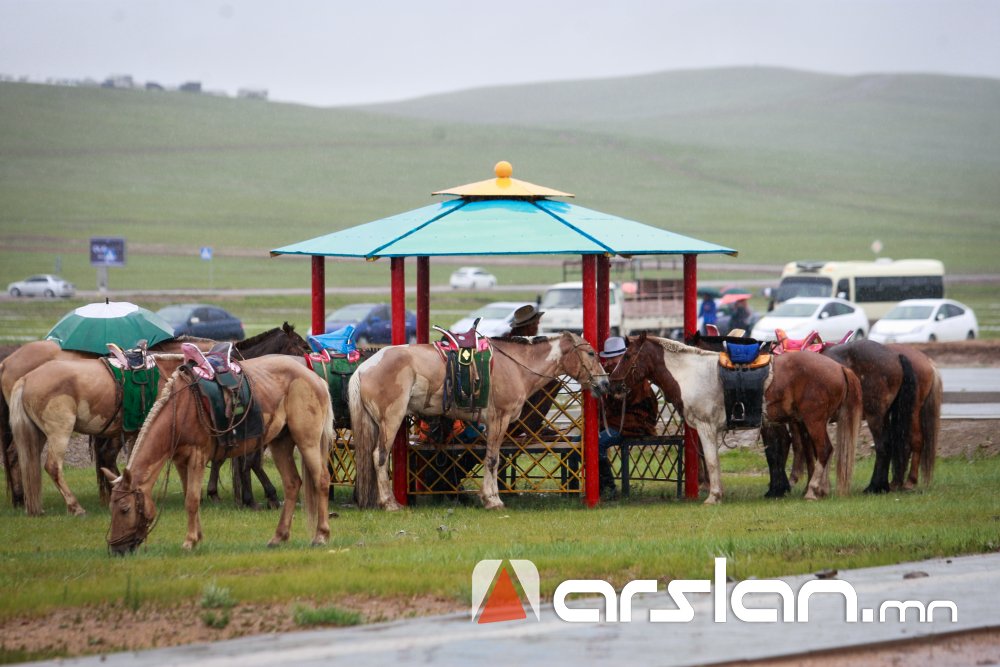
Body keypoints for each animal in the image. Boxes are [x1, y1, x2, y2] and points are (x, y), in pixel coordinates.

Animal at [104, 354, 332, 552]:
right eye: (111, 508)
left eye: (125, 508)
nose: (117, 549)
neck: (181, 409)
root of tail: (315, 378)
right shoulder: (180, 461)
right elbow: (190, 497)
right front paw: (197, 537)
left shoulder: (197, 457)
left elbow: (192, 499)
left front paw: (189, 541)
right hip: (280, 443)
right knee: (292, 483)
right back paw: (278, 536)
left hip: (307, 441)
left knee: (321, 480)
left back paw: (321, 535)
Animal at [348, 332, 612, 508]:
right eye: (591, 353)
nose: (605, 383)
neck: (515, 366)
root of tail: (364, 367)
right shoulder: (499, 419)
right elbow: (493, 459)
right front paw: (492, 499)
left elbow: (491, 458)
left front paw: (490, 496)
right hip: (390, 418)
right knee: (379, 456)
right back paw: (389, 503)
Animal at [608, 336, 860, 504]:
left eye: (628, 356)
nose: (612, 383)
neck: (692, 373)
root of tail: (839, 367)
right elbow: (715, 462)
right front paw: (717, 493)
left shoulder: (706, 427)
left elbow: (711, 461)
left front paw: (713, 496)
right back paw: (820, 490)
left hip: (814, 421)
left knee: (824, 450)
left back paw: (813, 490)